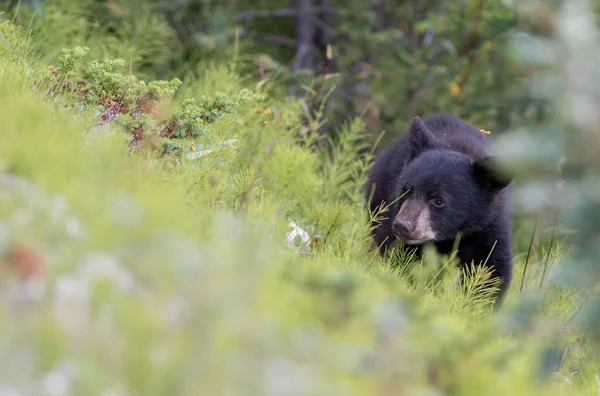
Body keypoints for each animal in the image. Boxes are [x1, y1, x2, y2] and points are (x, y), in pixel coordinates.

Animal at [368, 113, 512, 304]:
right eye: (406, 190)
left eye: (438, 201)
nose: (402, 225)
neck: (451, 236)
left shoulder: (488, 226)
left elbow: (491, 268)